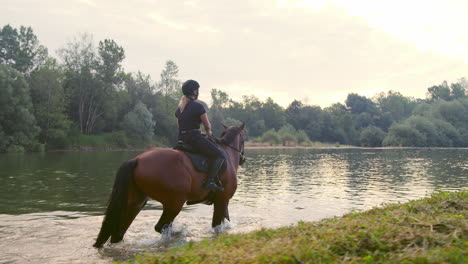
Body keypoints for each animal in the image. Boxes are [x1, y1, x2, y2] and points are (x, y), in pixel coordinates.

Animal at [91, 124, 245, 248]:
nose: (243, 159)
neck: (227, 155)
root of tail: (137, 159)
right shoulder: (222, 200)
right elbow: (217, 225)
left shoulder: (223, 201)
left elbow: (224, 220)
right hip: (174, 203)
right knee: (160, 227)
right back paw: (178, 233)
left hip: (135, 204)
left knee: (119, 233)